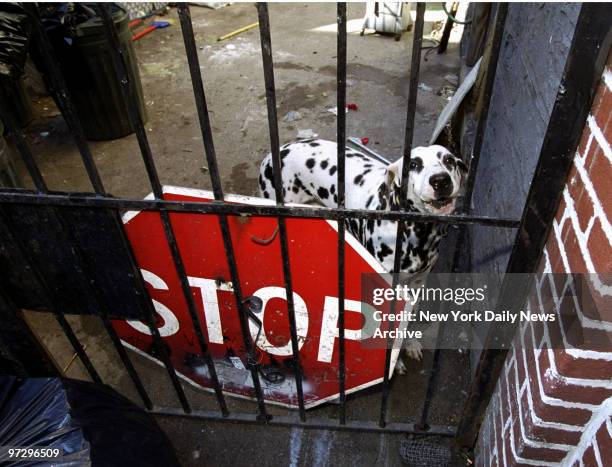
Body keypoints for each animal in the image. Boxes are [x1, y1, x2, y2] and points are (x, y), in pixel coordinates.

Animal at [256, 138, 466, 372]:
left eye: (448, 160)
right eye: (413, 165)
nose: (441, 181)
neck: (418, 233)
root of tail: (279, 150)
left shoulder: (417, 283)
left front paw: (409, 343)